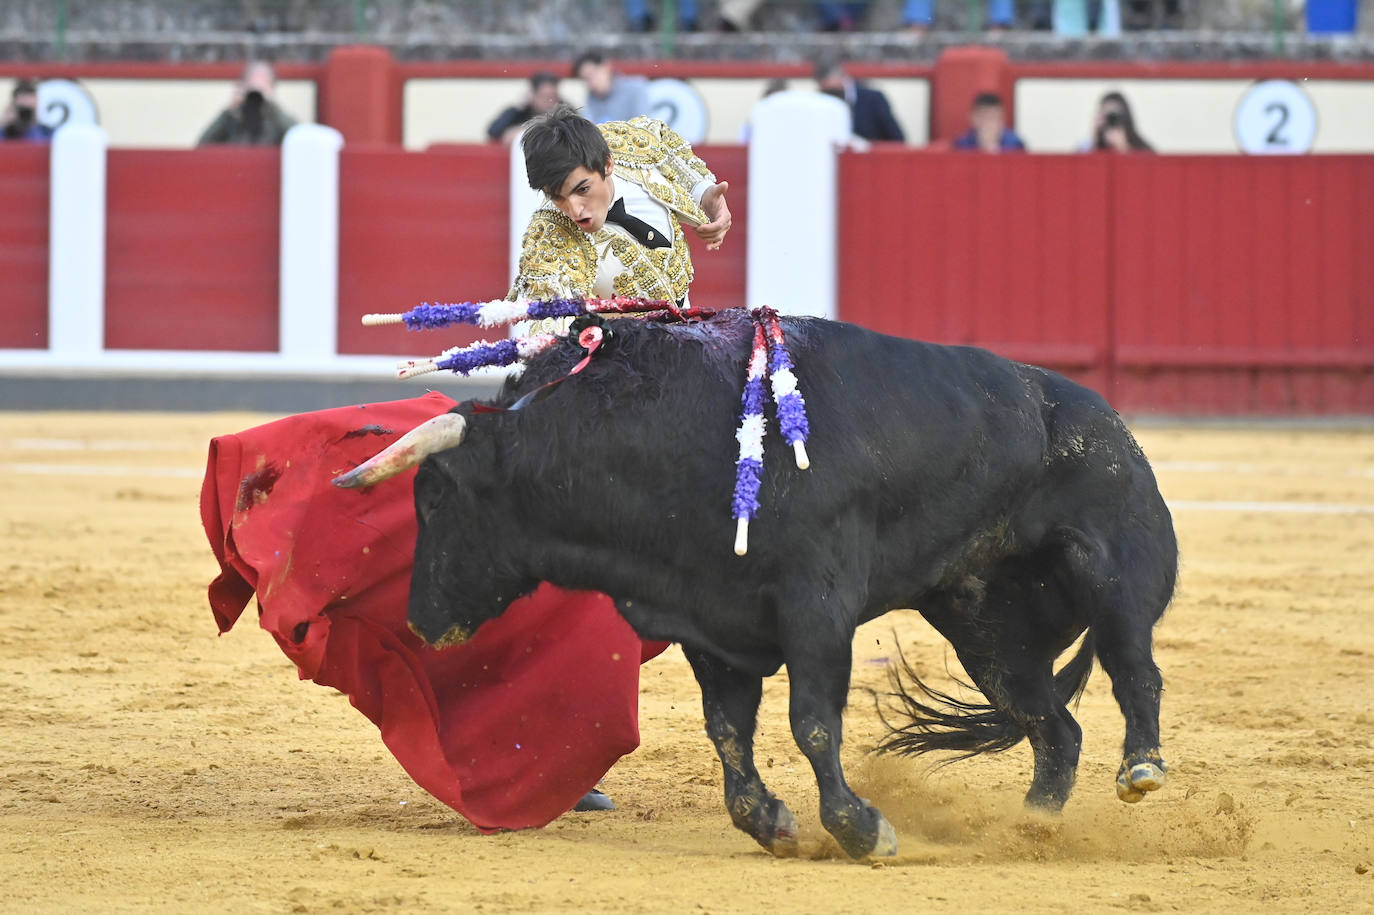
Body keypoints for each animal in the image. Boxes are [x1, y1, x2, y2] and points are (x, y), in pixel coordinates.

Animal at [338, 310, 1176, 857]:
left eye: (433, 497)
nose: (421, 618)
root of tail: (1107, 422)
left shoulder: (817, 603)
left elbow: (812, 720)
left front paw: (861, 827)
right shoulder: (712, 620)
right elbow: (727, 730)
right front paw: (770, 821)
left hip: (1116, 566)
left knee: (1134, 667)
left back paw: (1140, 769)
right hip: (987, 629)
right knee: (1054, 727)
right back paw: (1031, 827)